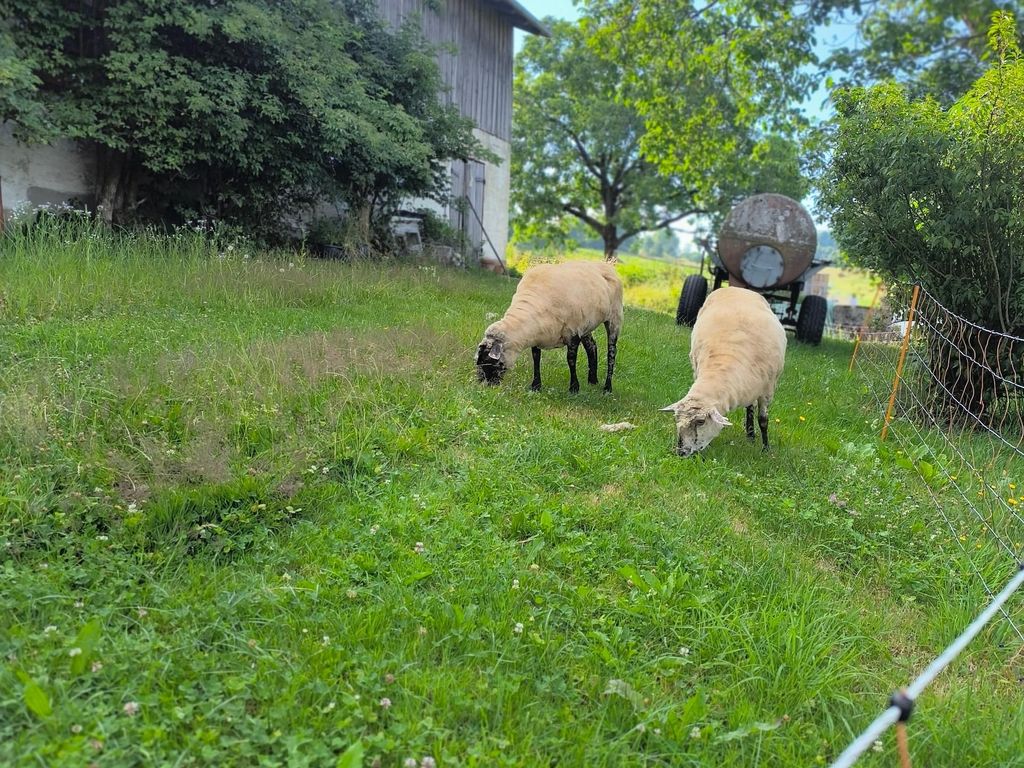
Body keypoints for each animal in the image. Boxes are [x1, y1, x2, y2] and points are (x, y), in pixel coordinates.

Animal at [476, 261, 624, 393]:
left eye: (488, 360)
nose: (483, 384)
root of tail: (607, 265)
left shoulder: (573, 332)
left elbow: (570, 360)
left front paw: (574, 388)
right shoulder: (537, 335)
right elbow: (536, 359)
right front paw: (536, 386)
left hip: (614, 318)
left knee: (611, 352)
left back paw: (607, 388)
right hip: (586, 325)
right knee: (592, 346)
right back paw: (592, 380)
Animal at [660, 286, 787, 456]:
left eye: (701, 421)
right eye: (676, 419)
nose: (681, 452)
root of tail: (736, 288)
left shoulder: (768, 390)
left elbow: (763, 420)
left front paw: (766, 450)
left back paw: (751, 437)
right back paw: (750, 435)